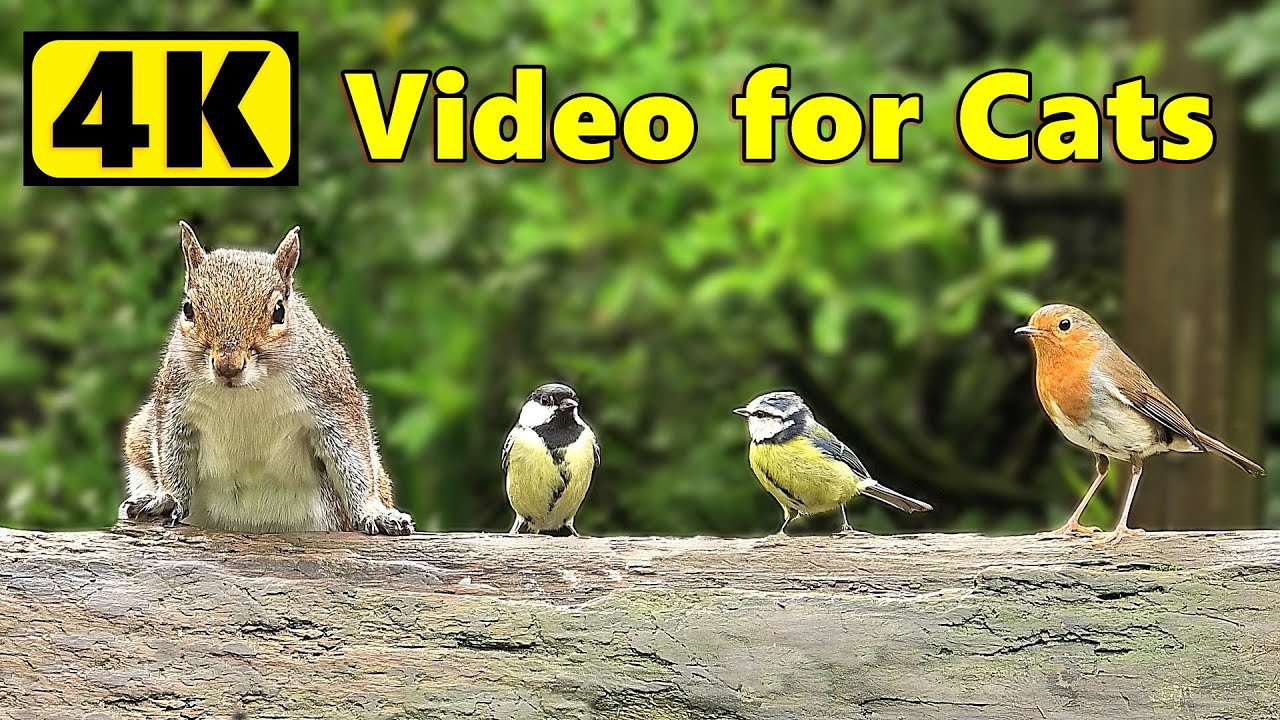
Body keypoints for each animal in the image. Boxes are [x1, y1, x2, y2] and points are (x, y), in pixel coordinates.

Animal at [119, 221, 414, 535]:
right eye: (188, 309)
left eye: (279, 311)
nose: (228, 366)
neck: (245, 392)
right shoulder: (174, 404)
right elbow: (171, 454)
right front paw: (169, 499)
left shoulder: (333, 398)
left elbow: (353, 459)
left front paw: (375, 513)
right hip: (138, 435)